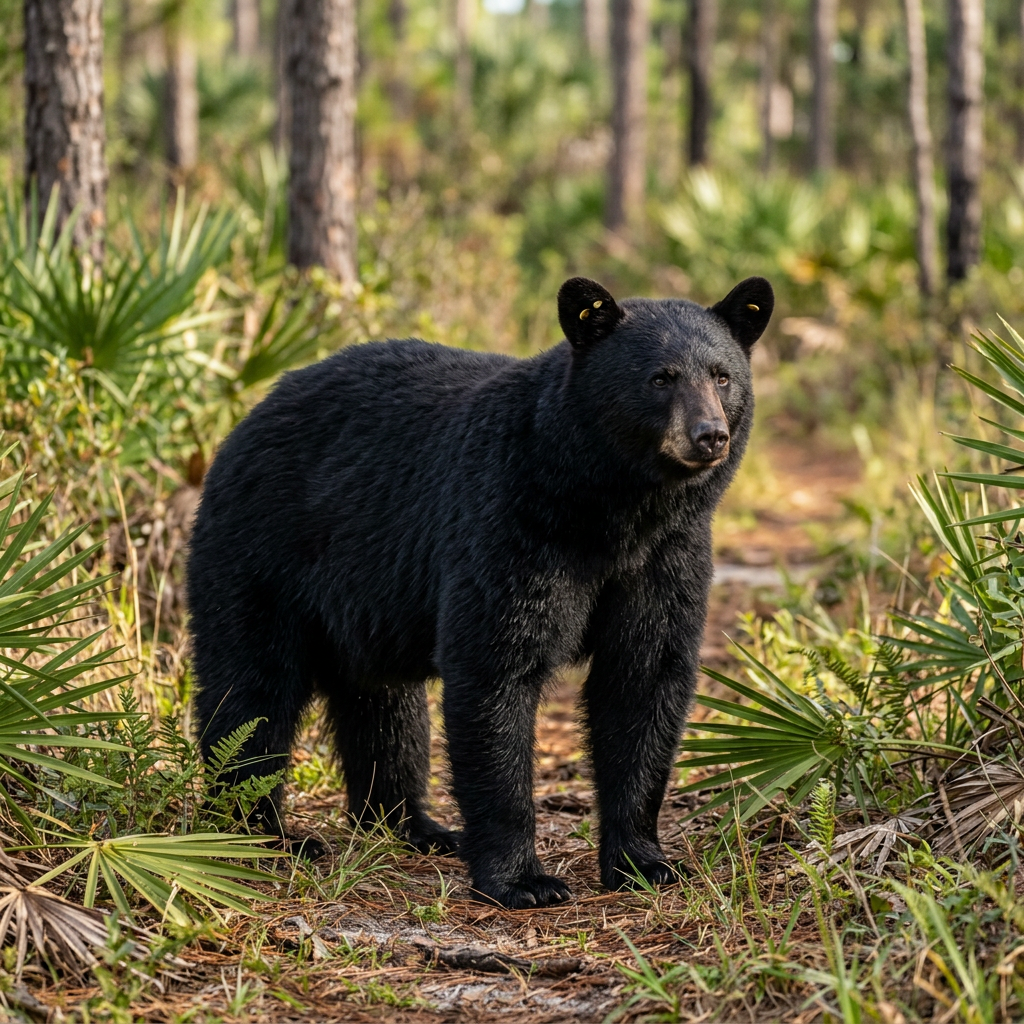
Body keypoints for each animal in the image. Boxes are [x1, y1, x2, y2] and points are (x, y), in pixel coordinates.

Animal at [186, 274, 774, 909]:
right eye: (660, 377)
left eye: (722, 375)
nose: (709, 435)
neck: (611, 509)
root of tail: (247, 418)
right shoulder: (510, 523)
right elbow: (496, 668)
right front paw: (523, 880)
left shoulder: (667, 557)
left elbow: (644, 678)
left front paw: (645, 863)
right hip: (261, 551)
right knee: (252, 690)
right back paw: (264, 834)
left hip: (364, 599)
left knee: (385, 707)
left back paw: (413, 827)